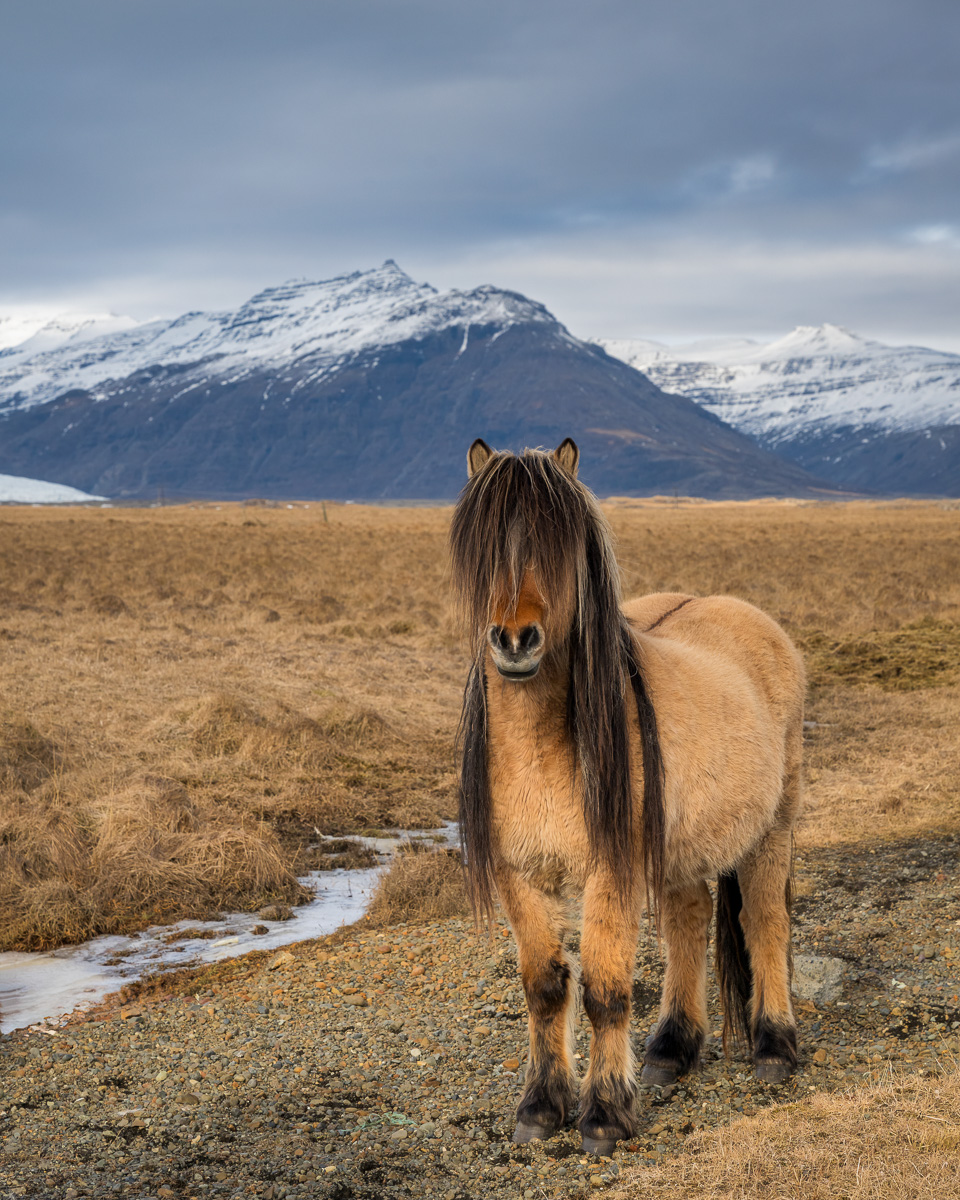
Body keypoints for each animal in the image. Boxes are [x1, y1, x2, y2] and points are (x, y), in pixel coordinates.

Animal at [451, 439, 801, 1152]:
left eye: (562, 548)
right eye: (482, 547)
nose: (515, 640)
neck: (542, 749)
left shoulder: (609, 871)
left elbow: (606, 991)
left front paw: (604, 1114)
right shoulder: (517, 876)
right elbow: (543, 987)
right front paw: (540, 1107)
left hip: (771, 827)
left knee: (764, 922)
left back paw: (775, 1046)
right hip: (684, 849)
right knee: (688, 922)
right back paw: (671, 1049)